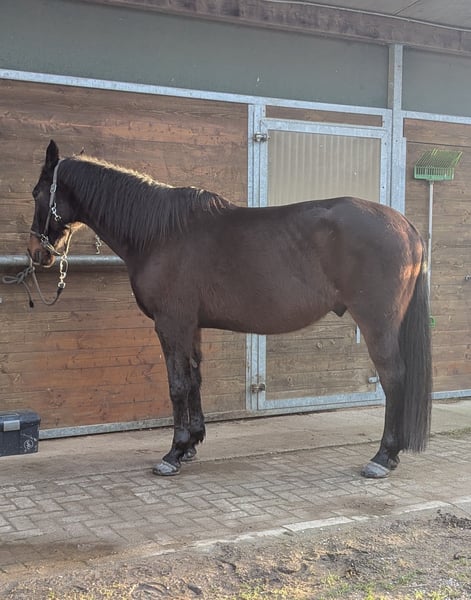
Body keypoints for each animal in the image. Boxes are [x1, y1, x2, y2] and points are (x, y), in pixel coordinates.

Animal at [28, 140, 432, 478]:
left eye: (36, 193)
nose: (36, 253)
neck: (160, 233)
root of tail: (406, 226)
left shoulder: (171, 324)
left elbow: (177, 384)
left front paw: (172, 454)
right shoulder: (190, 325)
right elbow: (194, 379)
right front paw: (191, 444)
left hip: (377, 323)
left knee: (394, 377)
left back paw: (382, 457)